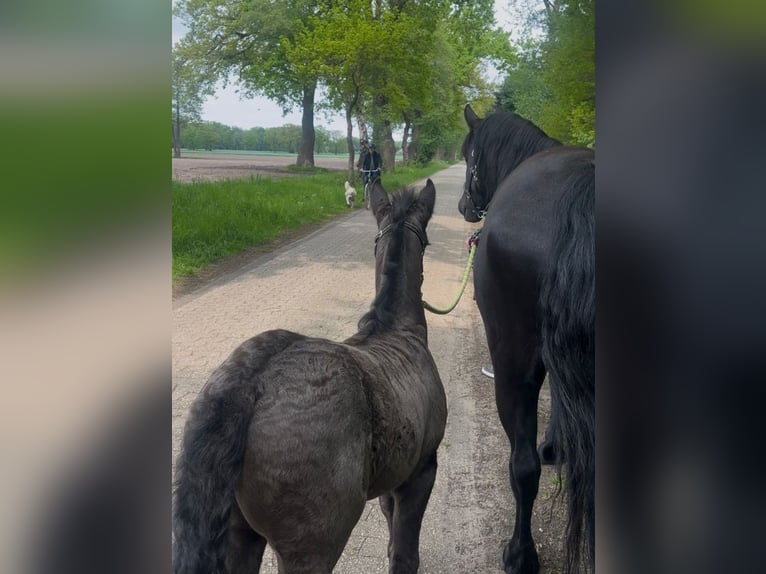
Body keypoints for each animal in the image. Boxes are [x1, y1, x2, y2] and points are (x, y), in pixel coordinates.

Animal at [173, 179, 447, 574]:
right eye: (426, 240)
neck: (394, 329)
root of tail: (248, 381)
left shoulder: (396, 476)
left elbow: (390, 520)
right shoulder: (421, 472)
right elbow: (404, 552)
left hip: (241, 534)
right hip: (311, 547)